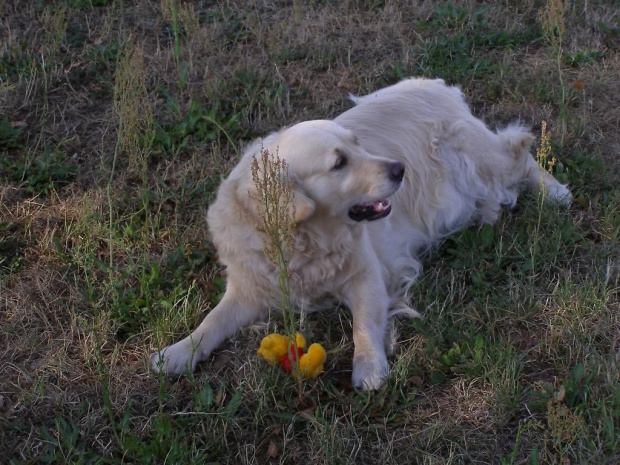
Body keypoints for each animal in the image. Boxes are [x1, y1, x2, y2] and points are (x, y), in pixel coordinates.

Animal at [151, 79, 572, 388]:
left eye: (358, 143)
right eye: (339, 162)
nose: (400, 169)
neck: (300, 240)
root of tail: (432, 84)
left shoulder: (368, 275)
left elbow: (364, 323)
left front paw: (369, 366)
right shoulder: (250, 285)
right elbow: (212, 320)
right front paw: (177, 352)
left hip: (477, 160)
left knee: (520, 154)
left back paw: (556, 193)